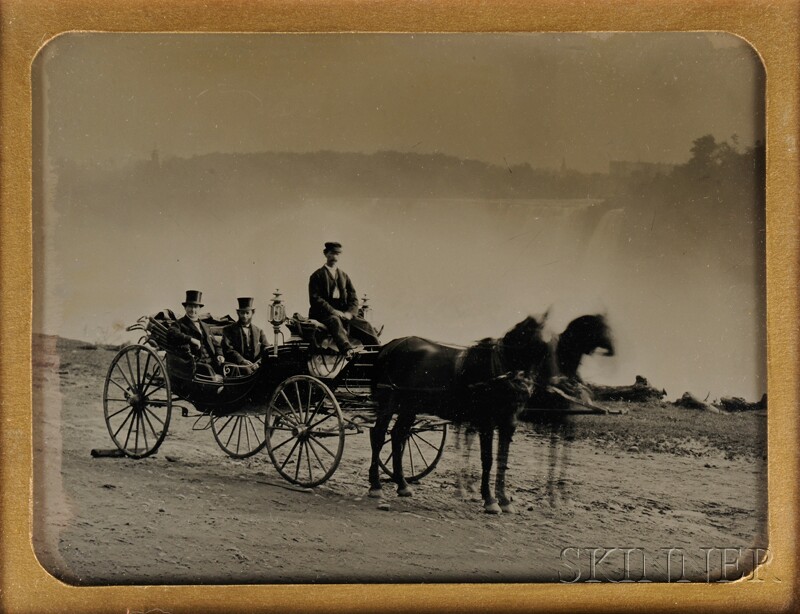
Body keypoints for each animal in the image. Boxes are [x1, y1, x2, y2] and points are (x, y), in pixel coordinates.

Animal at [368, 318, 552, 516]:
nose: (526, 388)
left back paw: (402, 484)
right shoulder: (486, 422)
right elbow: (487, 459)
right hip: (389, 402)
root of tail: (390, 345)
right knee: (378, 435)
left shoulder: (508, 423)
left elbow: (503, 460)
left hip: (410, 406)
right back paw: (376, 485)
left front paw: (503, 500)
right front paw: (489, 500)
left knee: (398, 435)